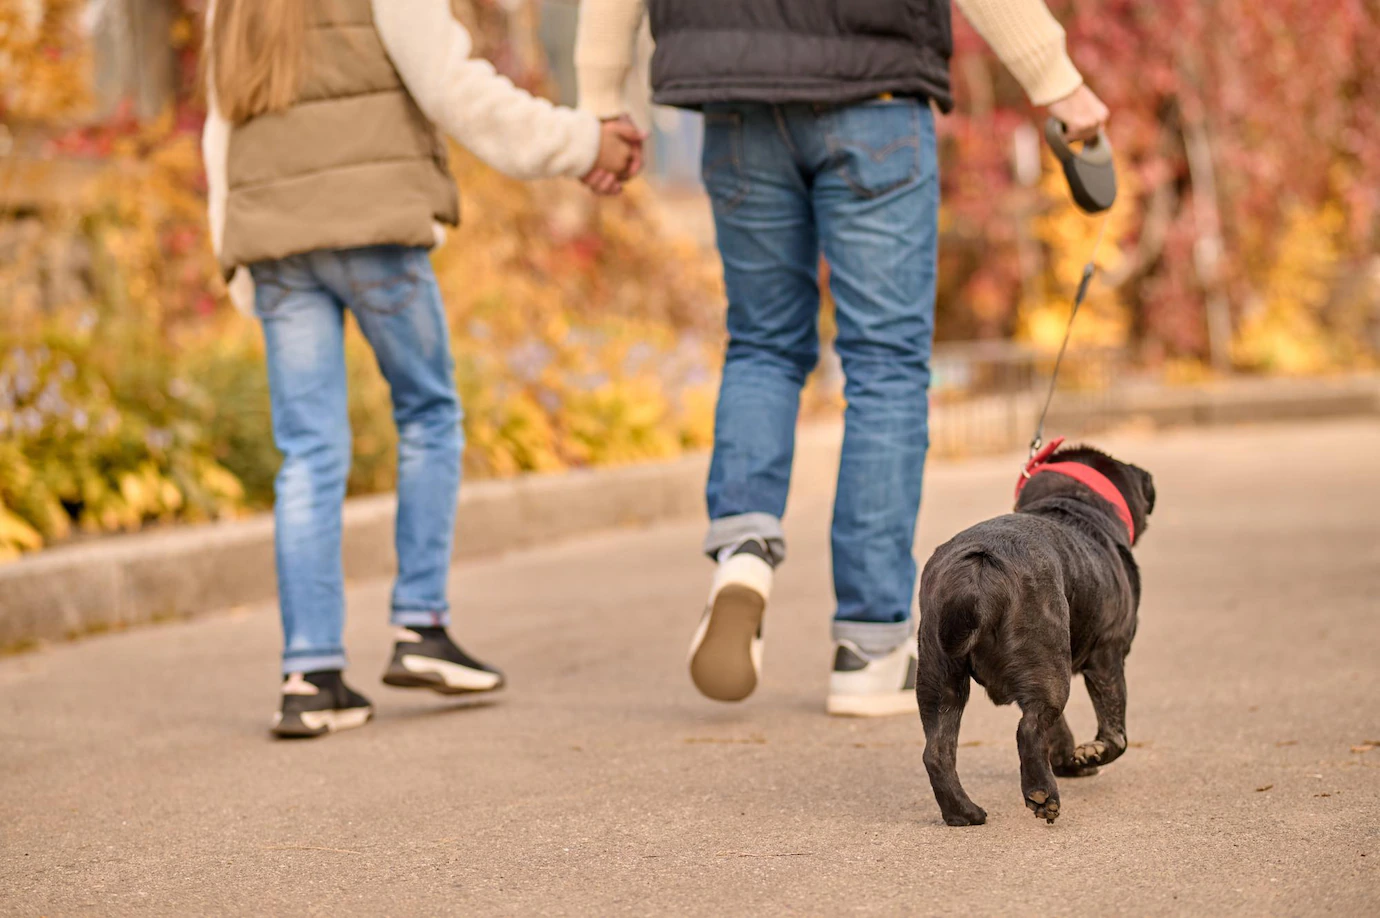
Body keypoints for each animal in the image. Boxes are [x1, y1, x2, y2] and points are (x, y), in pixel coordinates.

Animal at [916, 436, 1153, 822]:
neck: (1071, 503)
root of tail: (978, 570)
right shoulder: (1108, 655)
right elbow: (1116, 733)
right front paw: (1091, 753)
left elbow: (1059, 731)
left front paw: (1071, 760)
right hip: (1050, 667)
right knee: (1028, 729)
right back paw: (1042, 795)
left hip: (941, 679)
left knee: (938, 752)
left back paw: (963, 813)